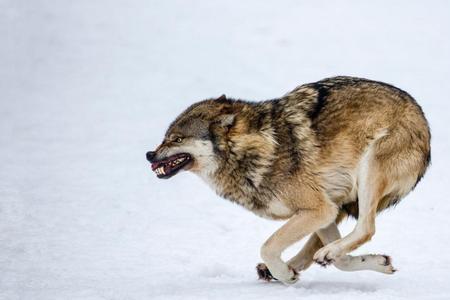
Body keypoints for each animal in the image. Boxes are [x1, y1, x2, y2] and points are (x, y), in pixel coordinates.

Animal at [146, 76, 430, 284]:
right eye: (165, 137)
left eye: (176, 139)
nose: (149, 155)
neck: (248, 151)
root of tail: (421, 115)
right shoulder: (323, 211)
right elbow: (337, 259)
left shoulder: (319, 209)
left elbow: (268, 246)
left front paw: (284, 273)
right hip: (341, 200)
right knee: (323, 249)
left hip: (368, 173)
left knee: (366, 228)